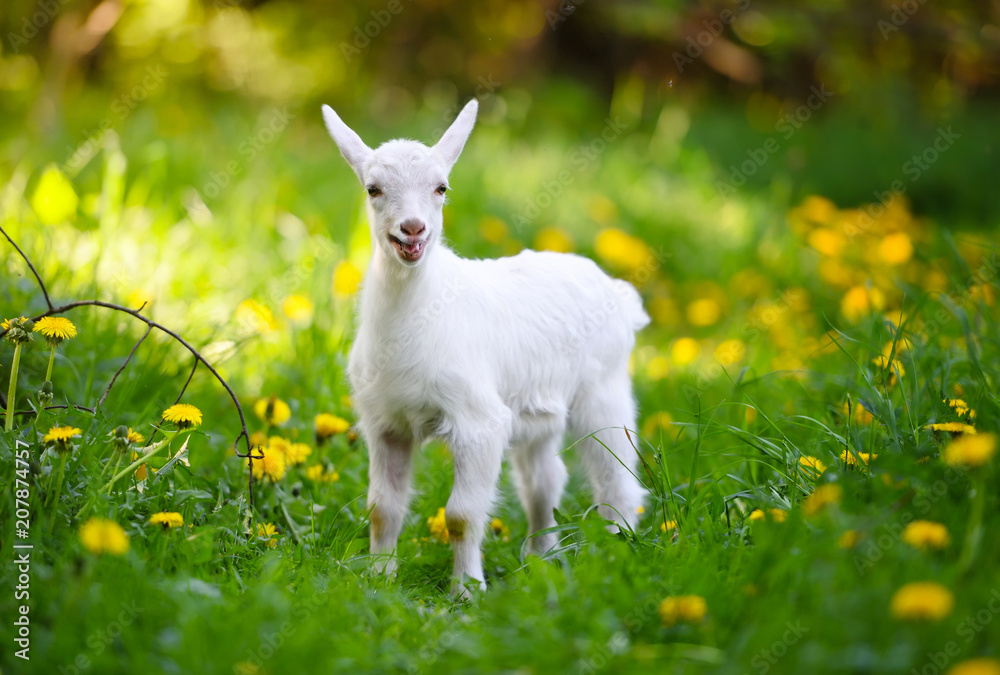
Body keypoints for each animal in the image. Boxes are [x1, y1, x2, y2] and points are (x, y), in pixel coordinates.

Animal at [321, 99, 649, 595]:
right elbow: (382, 507)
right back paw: (540, 558)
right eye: (373, 188)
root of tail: (618, 291)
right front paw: (379, 578)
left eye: (441, 187)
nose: (412, 230)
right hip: (538, 410)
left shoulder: (479, 421)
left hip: (603, 388)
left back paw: (617, 550)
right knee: (544, 480)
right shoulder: (385, 422)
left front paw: (465, 590)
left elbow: (460, 515)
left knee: (616, 475)